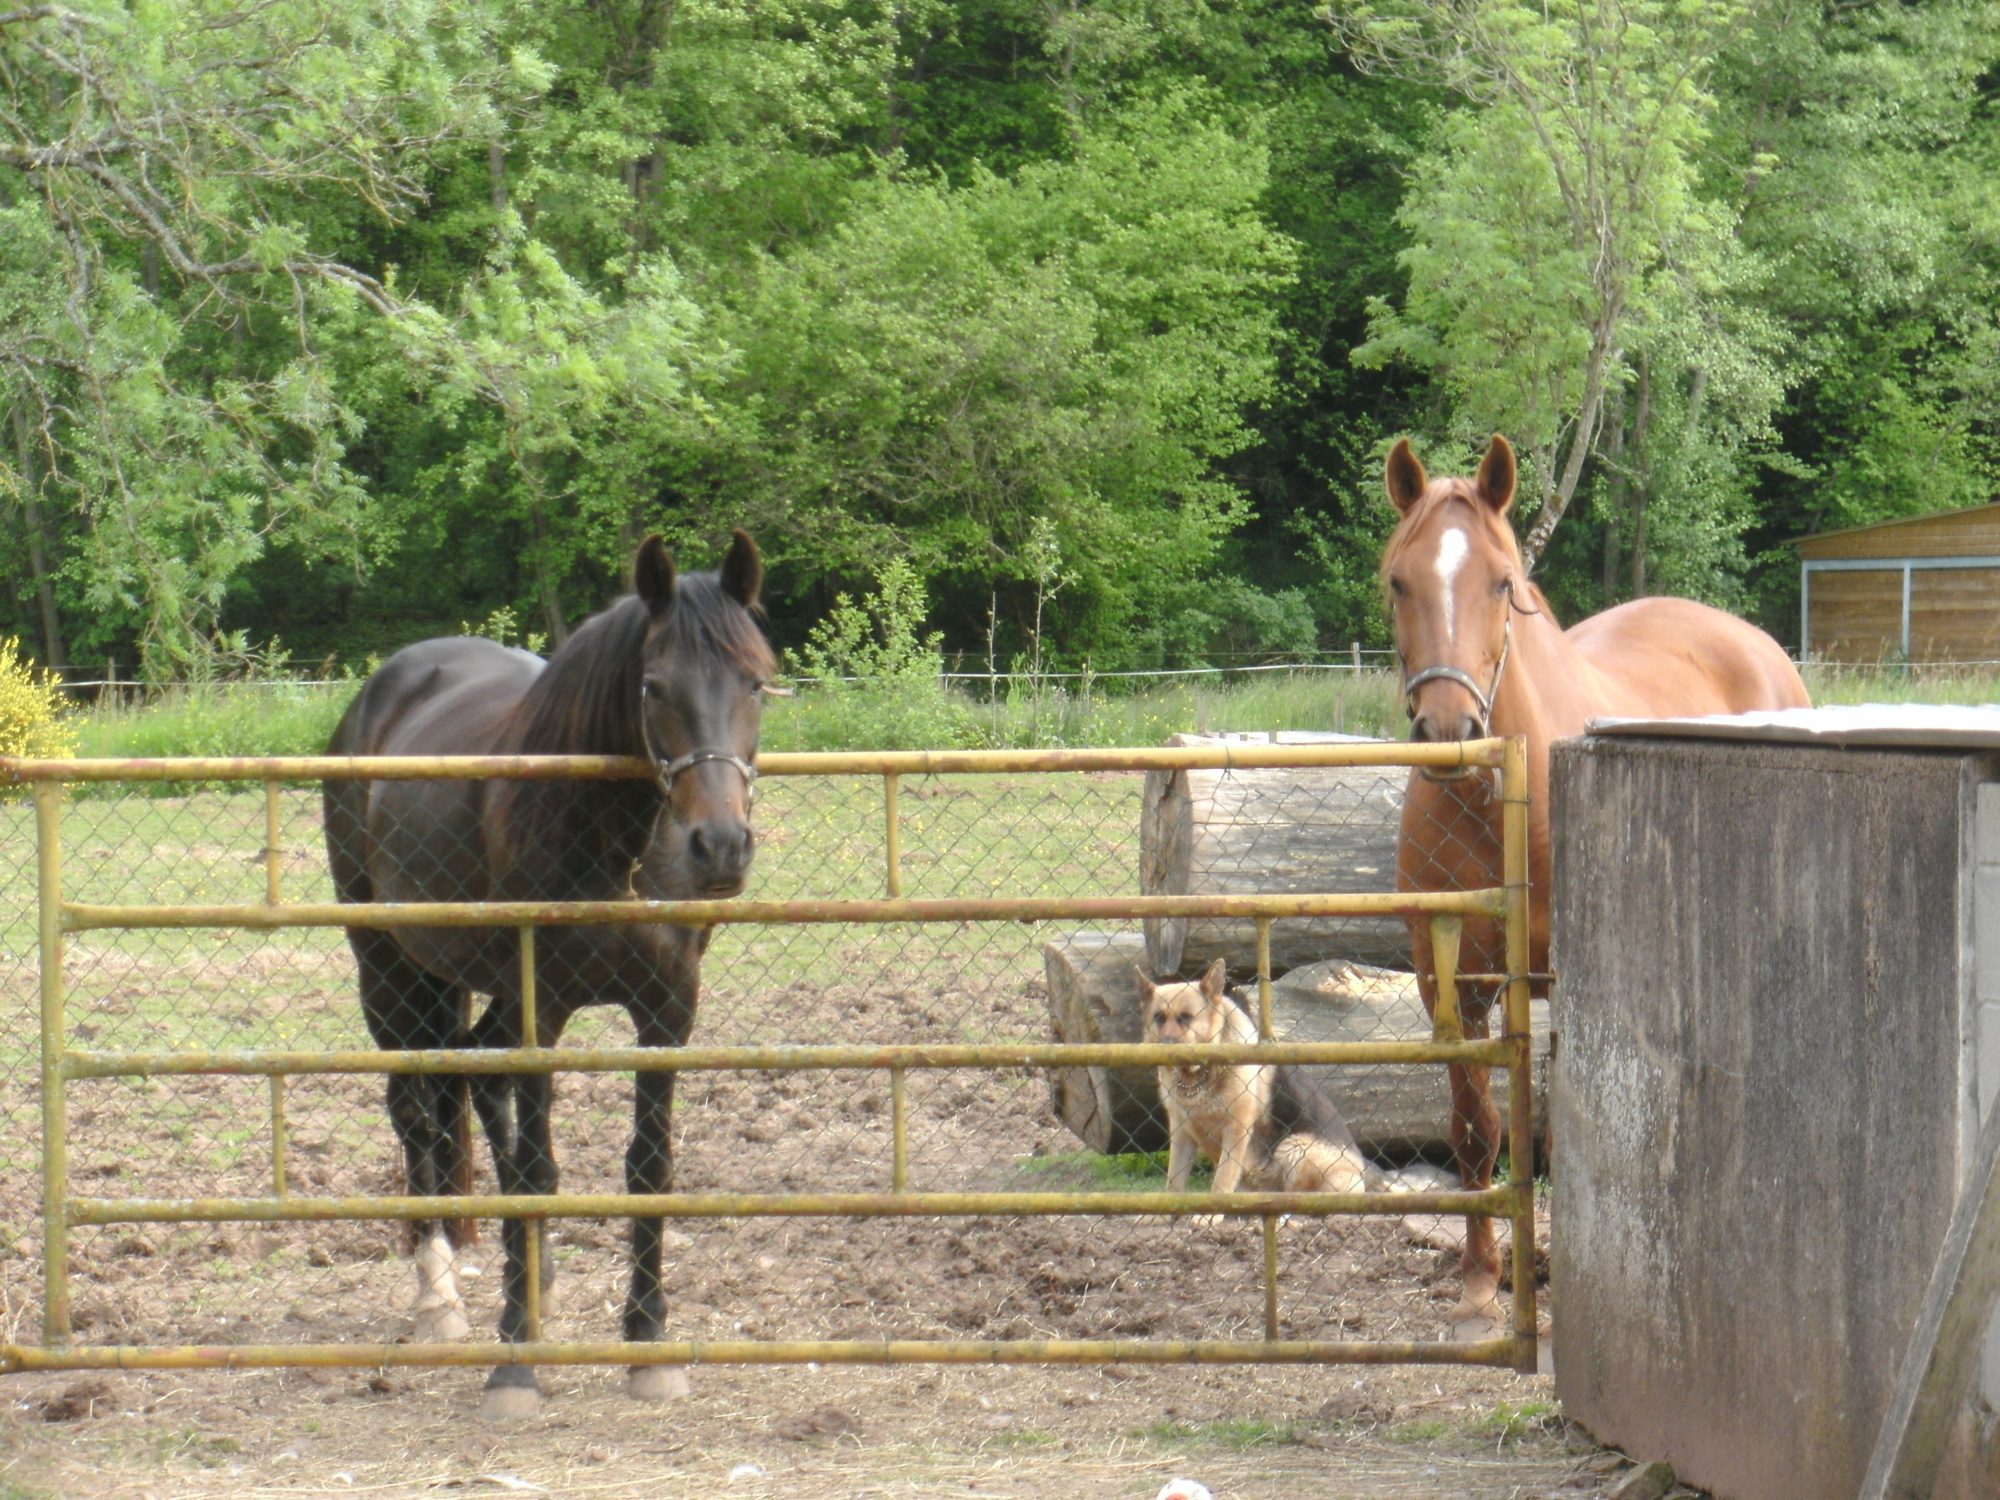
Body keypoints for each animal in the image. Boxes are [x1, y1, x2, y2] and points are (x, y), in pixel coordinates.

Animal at [324, 532, 768, 1424]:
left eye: (755, 680)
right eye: (653, 686)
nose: (720, 848)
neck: (617, 841)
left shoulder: (669, 1009)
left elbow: (648, 1166)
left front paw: (647, 1341)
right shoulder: (542, 1004)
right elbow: (536, 1169)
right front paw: (515, 1363)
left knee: (474, 1078)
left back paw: (533, 1278)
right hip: (386, 965)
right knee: (416, 1108)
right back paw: (441, 1298)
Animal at [1144, 964, 1376, 1200]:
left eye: (1186, 1018)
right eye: (1159, 1018)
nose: (1166, 1046)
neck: (1198, 1077)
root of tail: (1360, 1174)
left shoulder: (1236, 1130)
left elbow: (1221, 1181)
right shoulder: (1181, 1132)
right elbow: (1174, 1182)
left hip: (1295, 1147)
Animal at [1376, 438, 1816, 1336]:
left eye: (1502, 583)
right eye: (1399, 580)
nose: (1450, 729)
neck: (1507, 801)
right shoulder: (1454, 978)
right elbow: (1477, 1127)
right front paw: (1483, 1280)